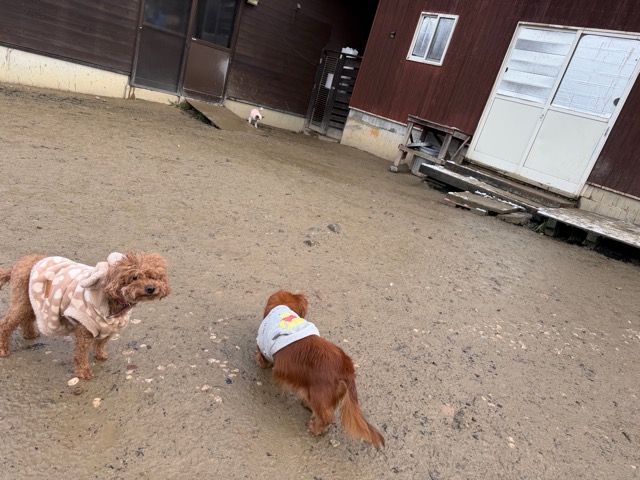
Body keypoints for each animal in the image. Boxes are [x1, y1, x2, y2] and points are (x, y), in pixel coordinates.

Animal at [0, 251, 170, 379]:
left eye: (153, 276)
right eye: (135, 277)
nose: (151, 288)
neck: (112, 298)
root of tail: (17, 264)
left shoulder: (108, 328)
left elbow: (100, 343)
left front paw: (100, 355)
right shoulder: (85, 328)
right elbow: (80, 354)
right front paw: (83, 373)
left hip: (31, 300)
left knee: (26, 318)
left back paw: (30, 334)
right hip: (23, 298)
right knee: (6, 324)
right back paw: (3, 350)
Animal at [256, 290, 384, 449]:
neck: (283, 309)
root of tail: (345, 366)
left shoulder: (263, 344)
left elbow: (262, 357)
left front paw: (262, 363)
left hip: (318, 394)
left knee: (327, 416)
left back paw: (315, 428)